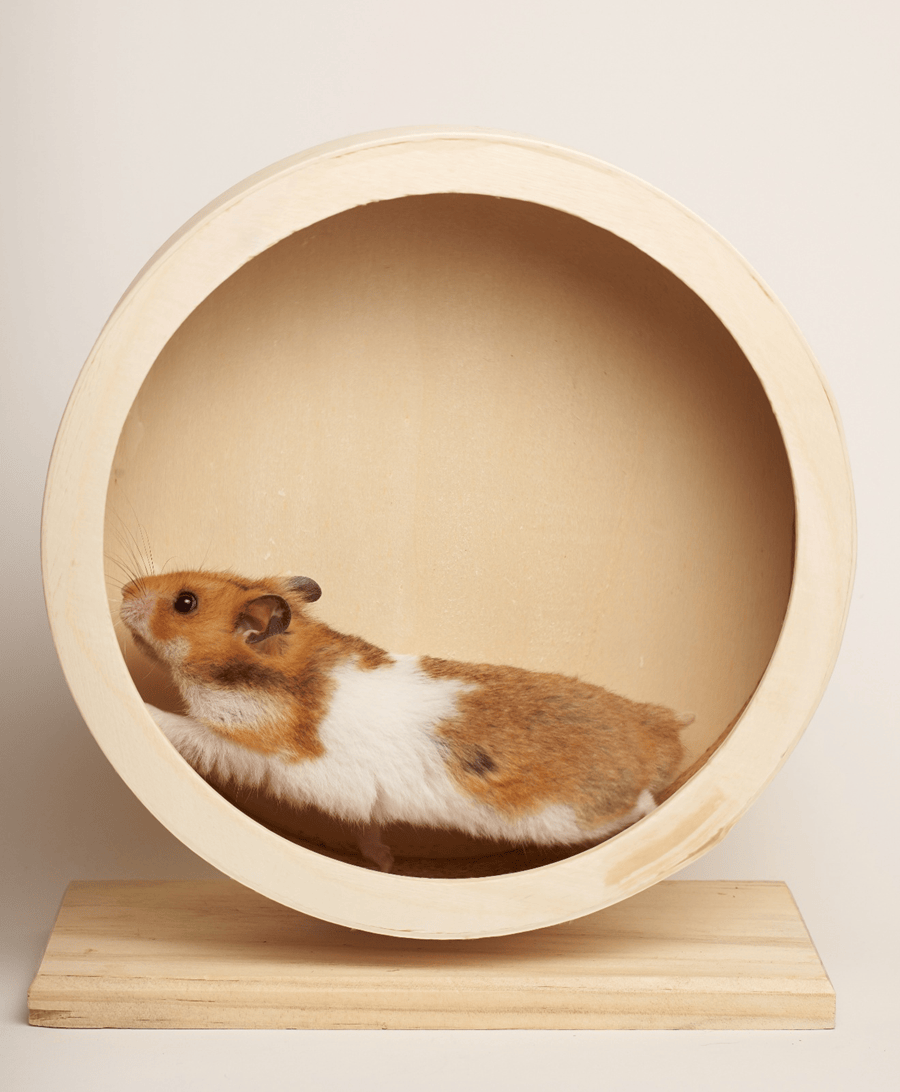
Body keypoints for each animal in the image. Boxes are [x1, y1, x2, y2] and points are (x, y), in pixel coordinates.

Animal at [120, 569, 693, 872]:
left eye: (185, 602)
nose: (123, 592)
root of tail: (660, 732)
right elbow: (370, 831)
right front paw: (384, 862)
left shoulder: (245, 746)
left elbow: (182, 730)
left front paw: (142, 711)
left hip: (577, 816)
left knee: (645, 804)